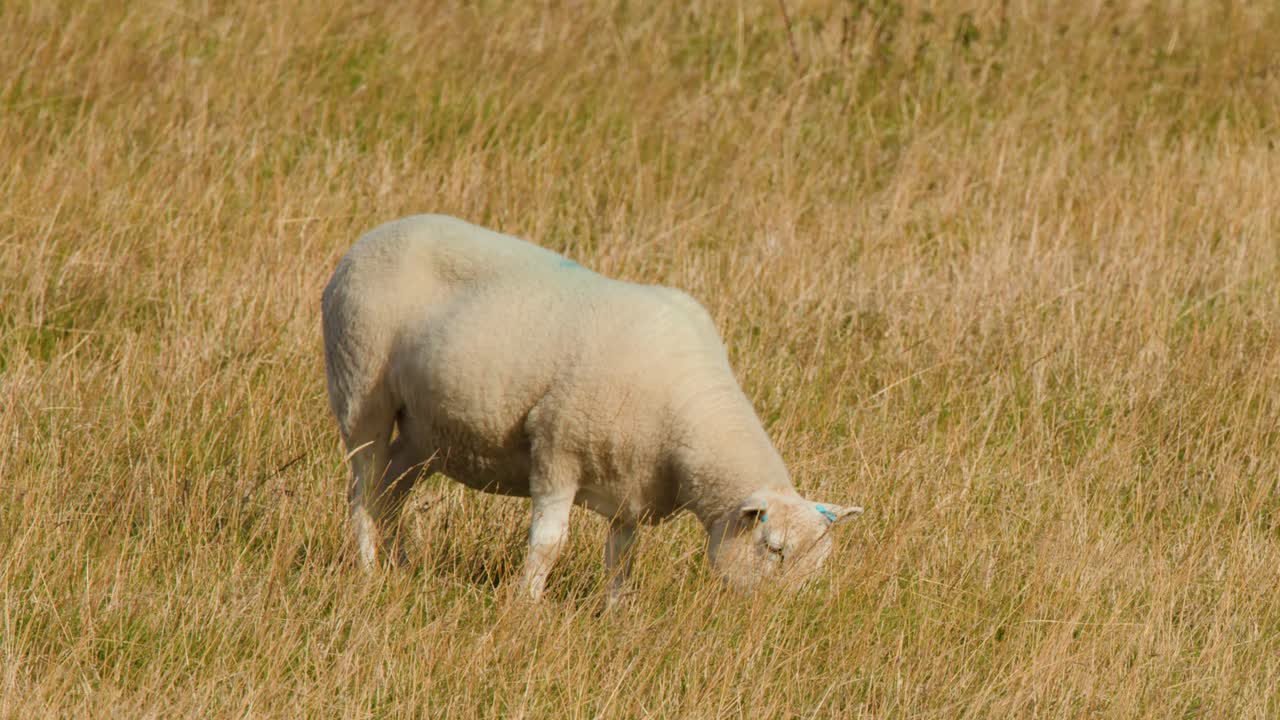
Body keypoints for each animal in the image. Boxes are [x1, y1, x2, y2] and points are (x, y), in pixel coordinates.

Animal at [321, 214, 862, 605]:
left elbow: (621, 556)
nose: (779, 616)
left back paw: (400, 564)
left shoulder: (631, 483)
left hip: (425, 430)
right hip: (360, 383)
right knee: (363, 485)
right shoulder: (556, 448)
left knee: (391, 488)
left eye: (819, 565)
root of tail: (370, 237)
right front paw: (527, 605)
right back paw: (369, 568)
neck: (688, 422)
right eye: (774, 550)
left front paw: (617, 613)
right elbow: (548, 544)